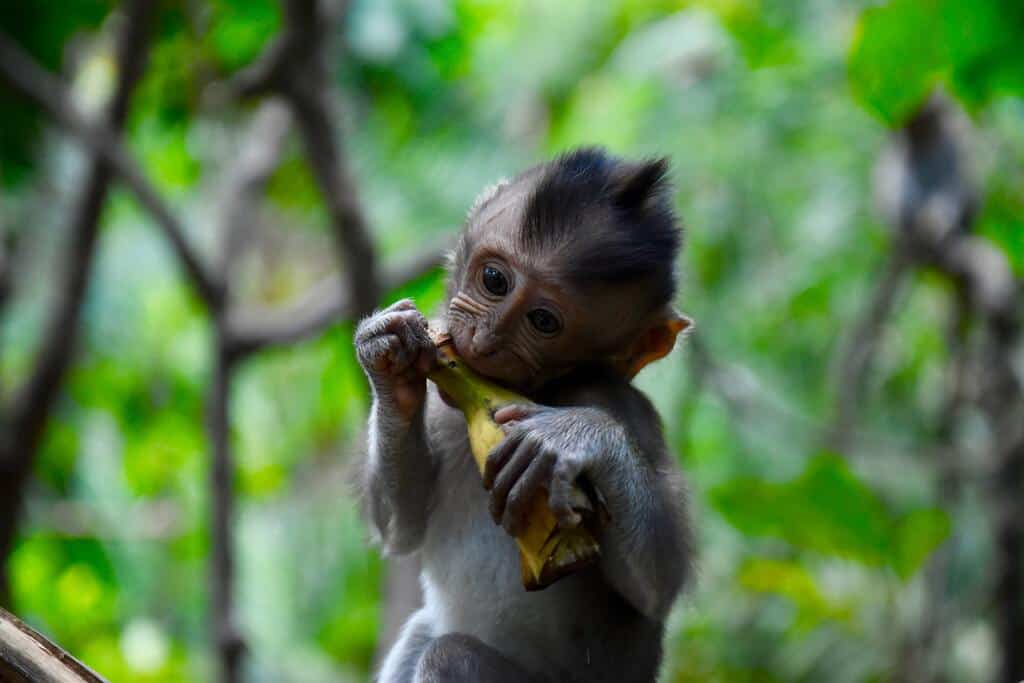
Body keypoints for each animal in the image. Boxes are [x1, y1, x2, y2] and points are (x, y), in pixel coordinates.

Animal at [354, 147, 694, 683]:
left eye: (543, 322)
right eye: (494, 280)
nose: (485, 339)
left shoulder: (618, 401)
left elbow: (657, 586)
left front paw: (576, 437)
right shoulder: (444, 412)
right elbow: (402, 528)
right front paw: (386, 355)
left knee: (448, 655)